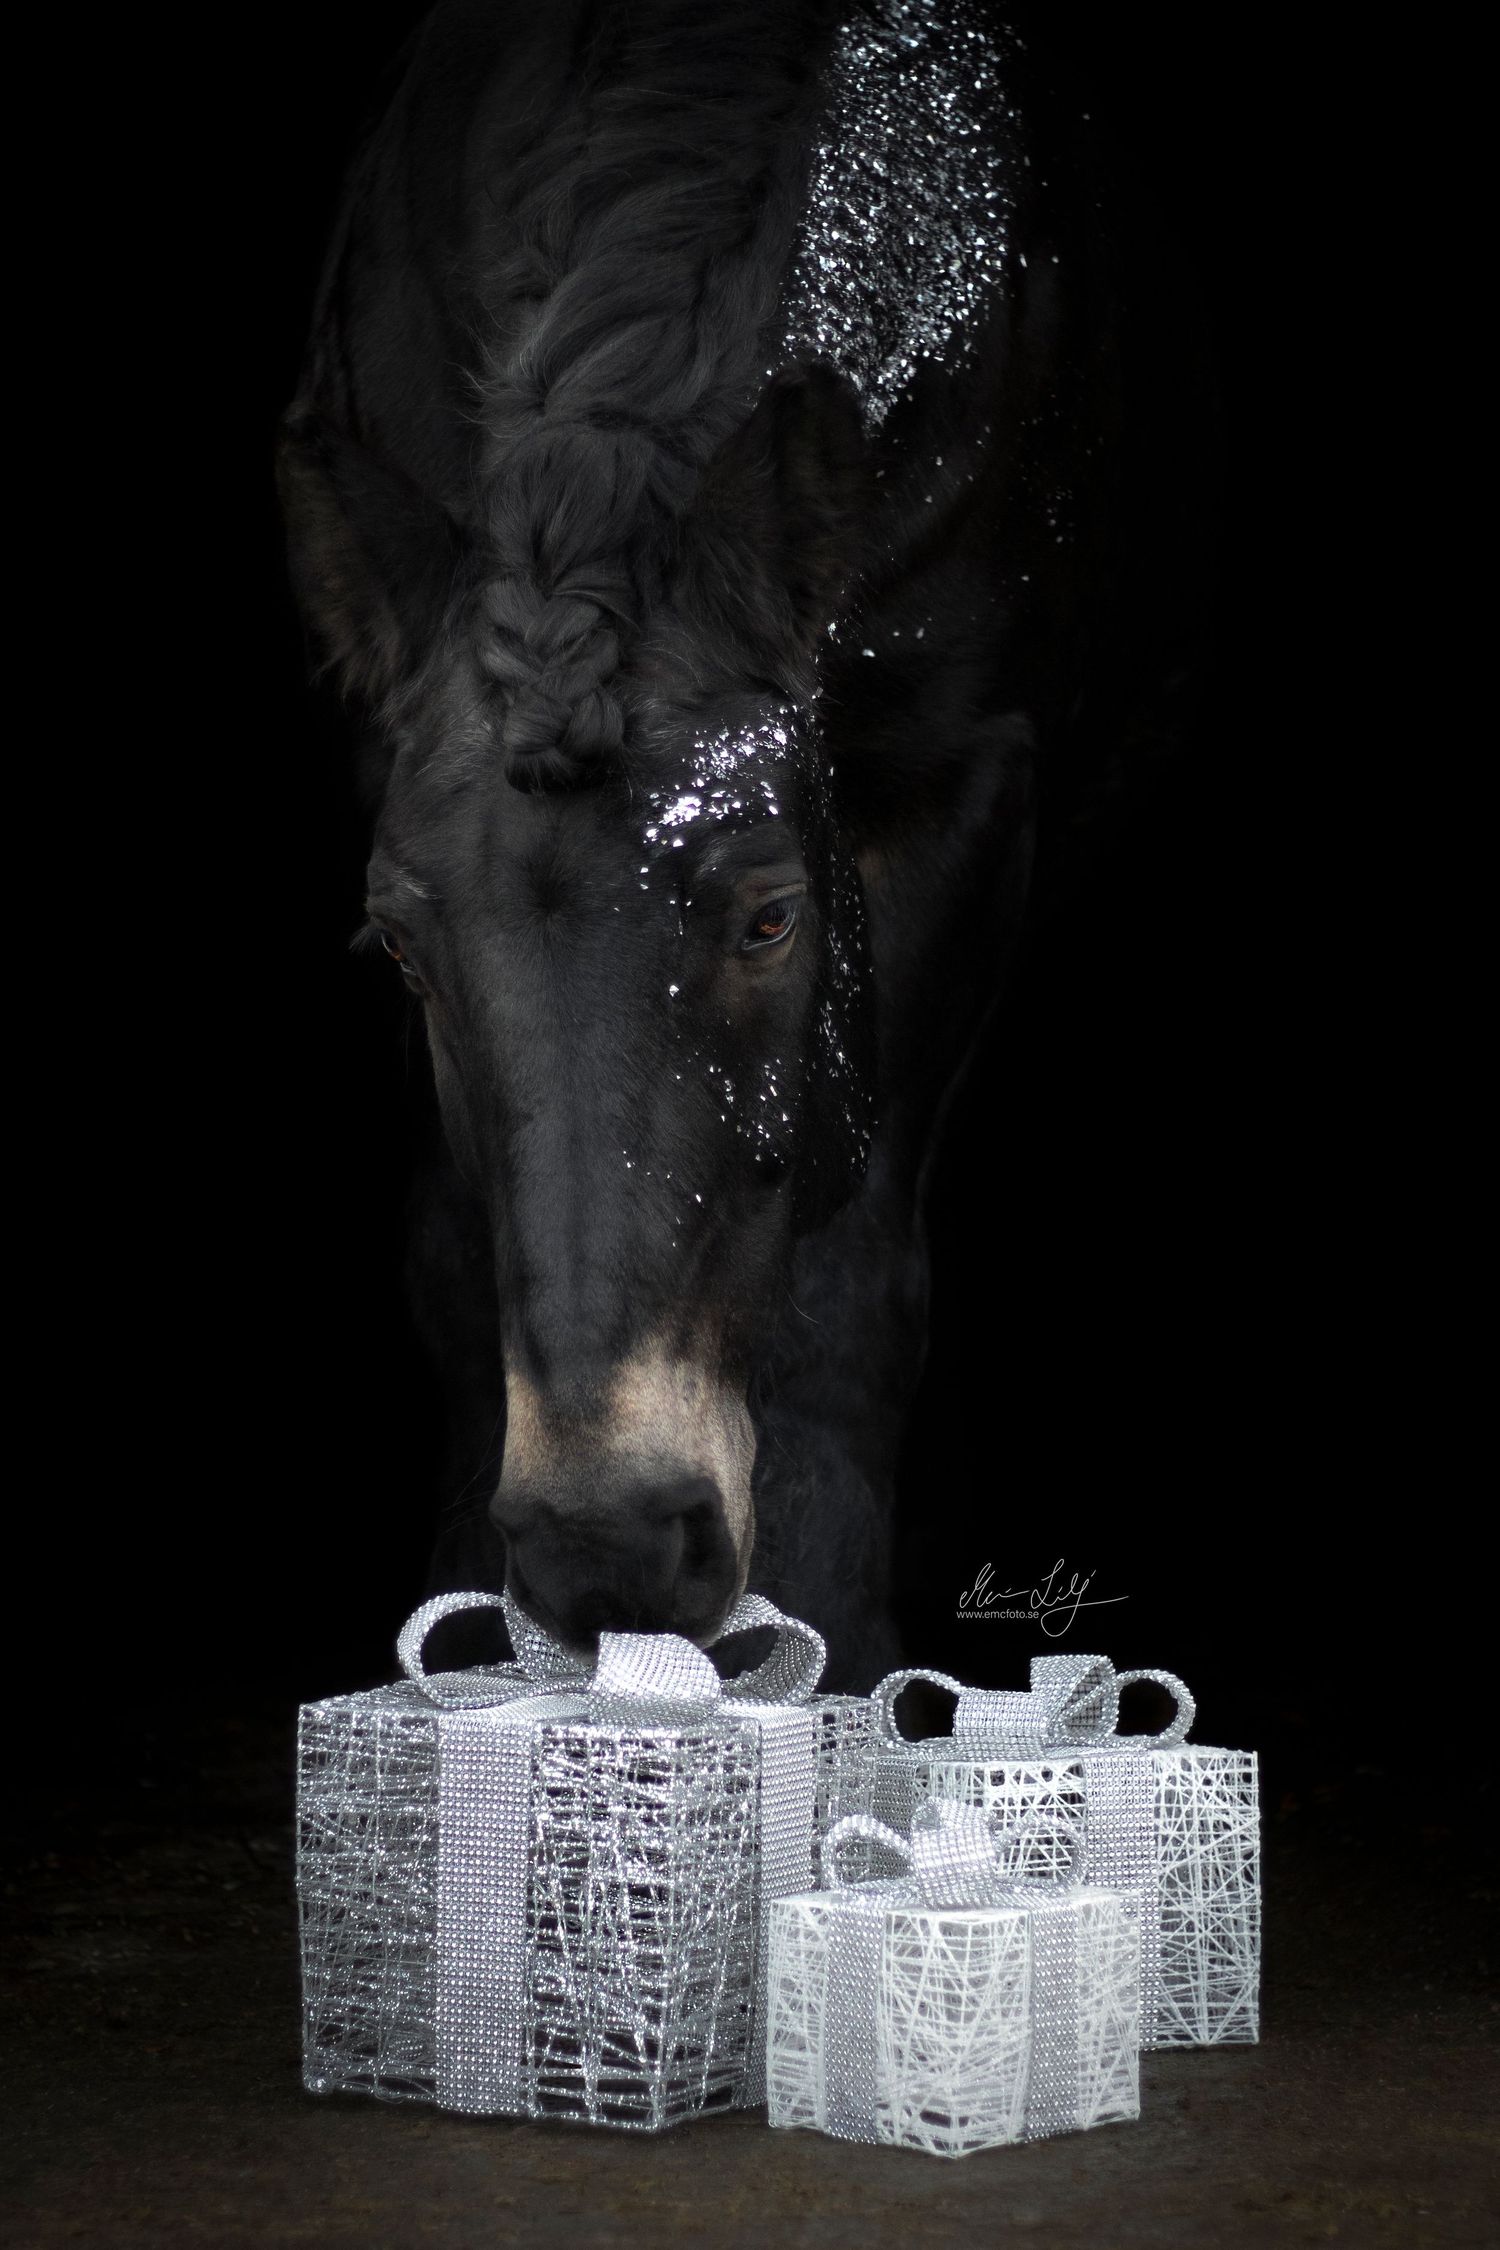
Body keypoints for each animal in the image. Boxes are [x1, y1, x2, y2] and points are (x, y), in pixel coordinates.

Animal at [278, 0, 1209, 1689]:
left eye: (771, 915)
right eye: (401, 950)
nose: (609, 1550)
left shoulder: (956, 795)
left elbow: (850, 1289)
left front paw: (844, 1647)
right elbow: (452, 1251)